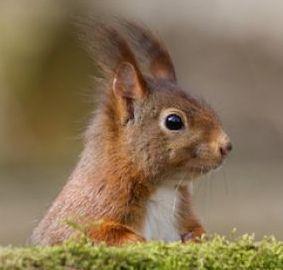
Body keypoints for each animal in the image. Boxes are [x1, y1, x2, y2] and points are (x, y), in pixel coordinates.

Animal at [30, 20, 233, 246]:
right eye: (173, 121)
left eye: (205, 105)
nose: (226, 146)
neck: (163, 189)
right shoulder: (86, 214)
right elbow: (99, 234)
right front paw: (137, 240)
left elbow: (196, 230)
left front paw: (196, 238)